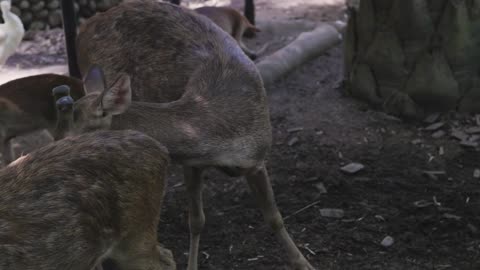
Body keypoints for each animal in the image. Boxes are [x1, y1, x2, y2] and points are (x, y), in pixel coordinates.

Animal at [59, 1, 316, 268]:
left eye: (78, 134)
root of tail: (84, 28)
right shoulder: (192, 163)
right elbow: (196, 221)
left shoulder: (256, 158)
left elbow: (274, 216)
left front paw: (304, 263)